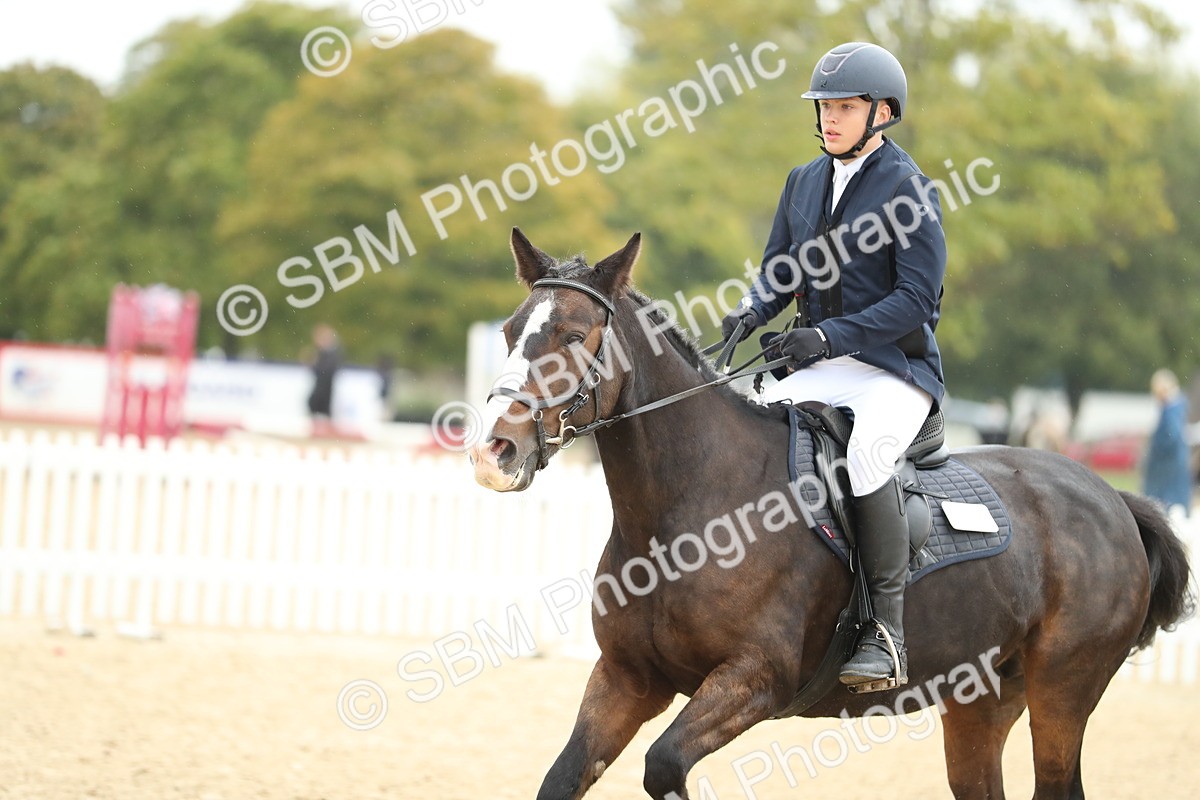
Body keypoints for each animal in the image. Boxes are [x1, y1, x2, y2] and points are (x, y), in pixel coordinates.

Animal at [467, 229, 1195, 800]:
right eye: (508, 333)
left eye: (573, 335)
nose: (493, 453)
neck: (686, 507)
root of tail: (1114, 500)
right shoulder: (628, 679)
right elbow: (563, 777)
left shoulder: (754, 680)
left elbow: (664, 766)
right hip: (980, 701)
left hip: (1061, 693)